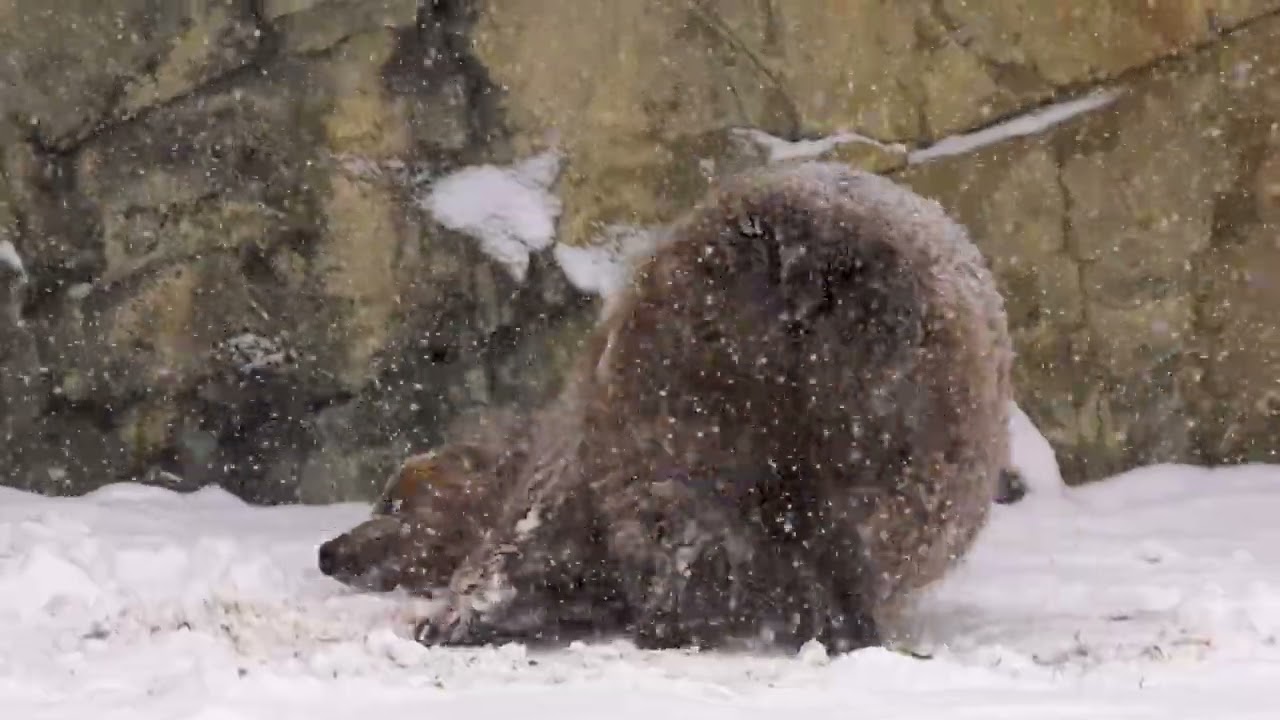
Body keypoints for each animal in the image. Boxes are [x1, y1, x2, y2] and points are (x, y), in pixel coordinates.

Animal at [320, 160, 1016, 655]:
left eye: (391, 500)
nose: (331, 549)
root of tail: (807, 250)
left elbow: (525, 541)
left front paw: (458, 608)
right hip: (886, 406)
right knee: (856, 522)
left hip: (690, 363)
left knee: (671, 510)